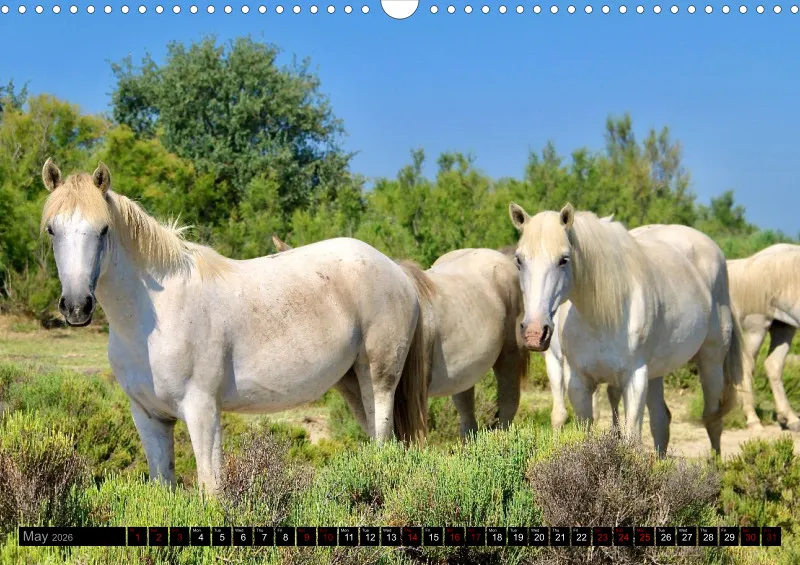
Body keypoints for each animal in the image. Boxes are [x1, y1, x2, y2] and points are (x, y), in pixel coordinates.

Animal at [40, 159, 433, 494]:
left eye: (103, 229)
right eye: (52, 230)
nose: (76, 306)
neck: (153, 318)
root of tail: (395, 269)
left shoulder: (202, 411)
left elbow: (211, 489)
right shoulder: (149, 416)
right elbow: (163, 487)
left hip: (378, 379)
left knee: (383, 442)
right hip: (351, 383)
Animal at [509, 203, 749, 455]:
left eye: (564, 259)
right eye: (519, 260)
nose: (535, 333)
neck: (599, 317)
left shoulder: (634, 379)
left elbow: (631, 439)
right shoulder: (577, 381)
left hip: (711, 361)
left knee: (712, 418)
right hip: (656, 372)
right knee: (661, 422)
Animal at [728, 244, 800, 432]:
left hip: (783, 327)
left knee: (773, 364)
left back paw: (790, 418)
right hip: (757, 328)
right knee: (746, 366)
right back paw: (753, 420)